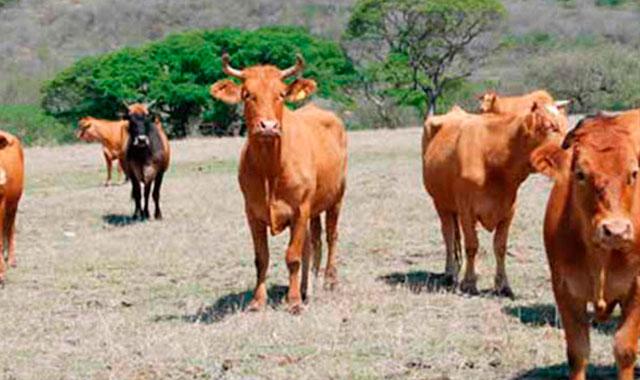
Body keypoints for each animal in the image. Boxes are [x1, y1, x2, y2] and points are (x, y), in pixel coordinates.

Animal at [210, 53, 348, 314]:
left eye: (281, 94)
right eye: (247, 94)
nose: (269, 126)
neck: (270, 169)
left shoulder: (299, 210)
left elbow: (292, 256)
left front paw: (293, 301)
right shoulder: (252, 214)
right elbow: (261, 258)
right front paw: (258, 301)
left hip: (336, 198)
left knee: (331, 236)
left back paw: (329, 280)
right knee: (314, 240)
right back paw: (310, 283)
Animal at [422, 101, 568, 296]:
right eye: (550, 126)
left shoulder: (508, 210)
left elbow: (500, 247)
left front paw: (503, 285)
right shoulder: (466, 210)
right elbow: (472, 245)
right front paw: (469, 283)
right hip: (440, 203)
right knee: (448, 236)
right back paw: (450, 273)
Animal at [532, 110, 640, 380]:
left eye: (634, 173)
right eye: (580, 174)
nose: (615, 230)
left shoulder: (638, 286)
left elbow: (624, 349)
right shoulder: (564, 289)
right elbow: (578, 352)